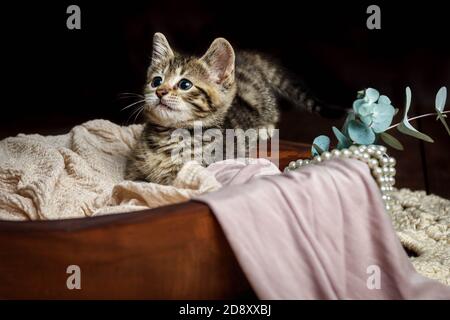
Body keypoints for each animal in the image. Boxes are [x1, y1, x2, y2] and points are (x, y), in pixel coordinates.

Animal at [125, 32, 338, 185]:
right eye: (156, 81)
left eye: (185, 84)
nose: (160, 92)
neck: (169, 136)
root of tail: (246, 57)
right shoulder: (132, 172)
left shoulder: (197, 169)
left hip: (261, 99)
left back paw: (264, 129)